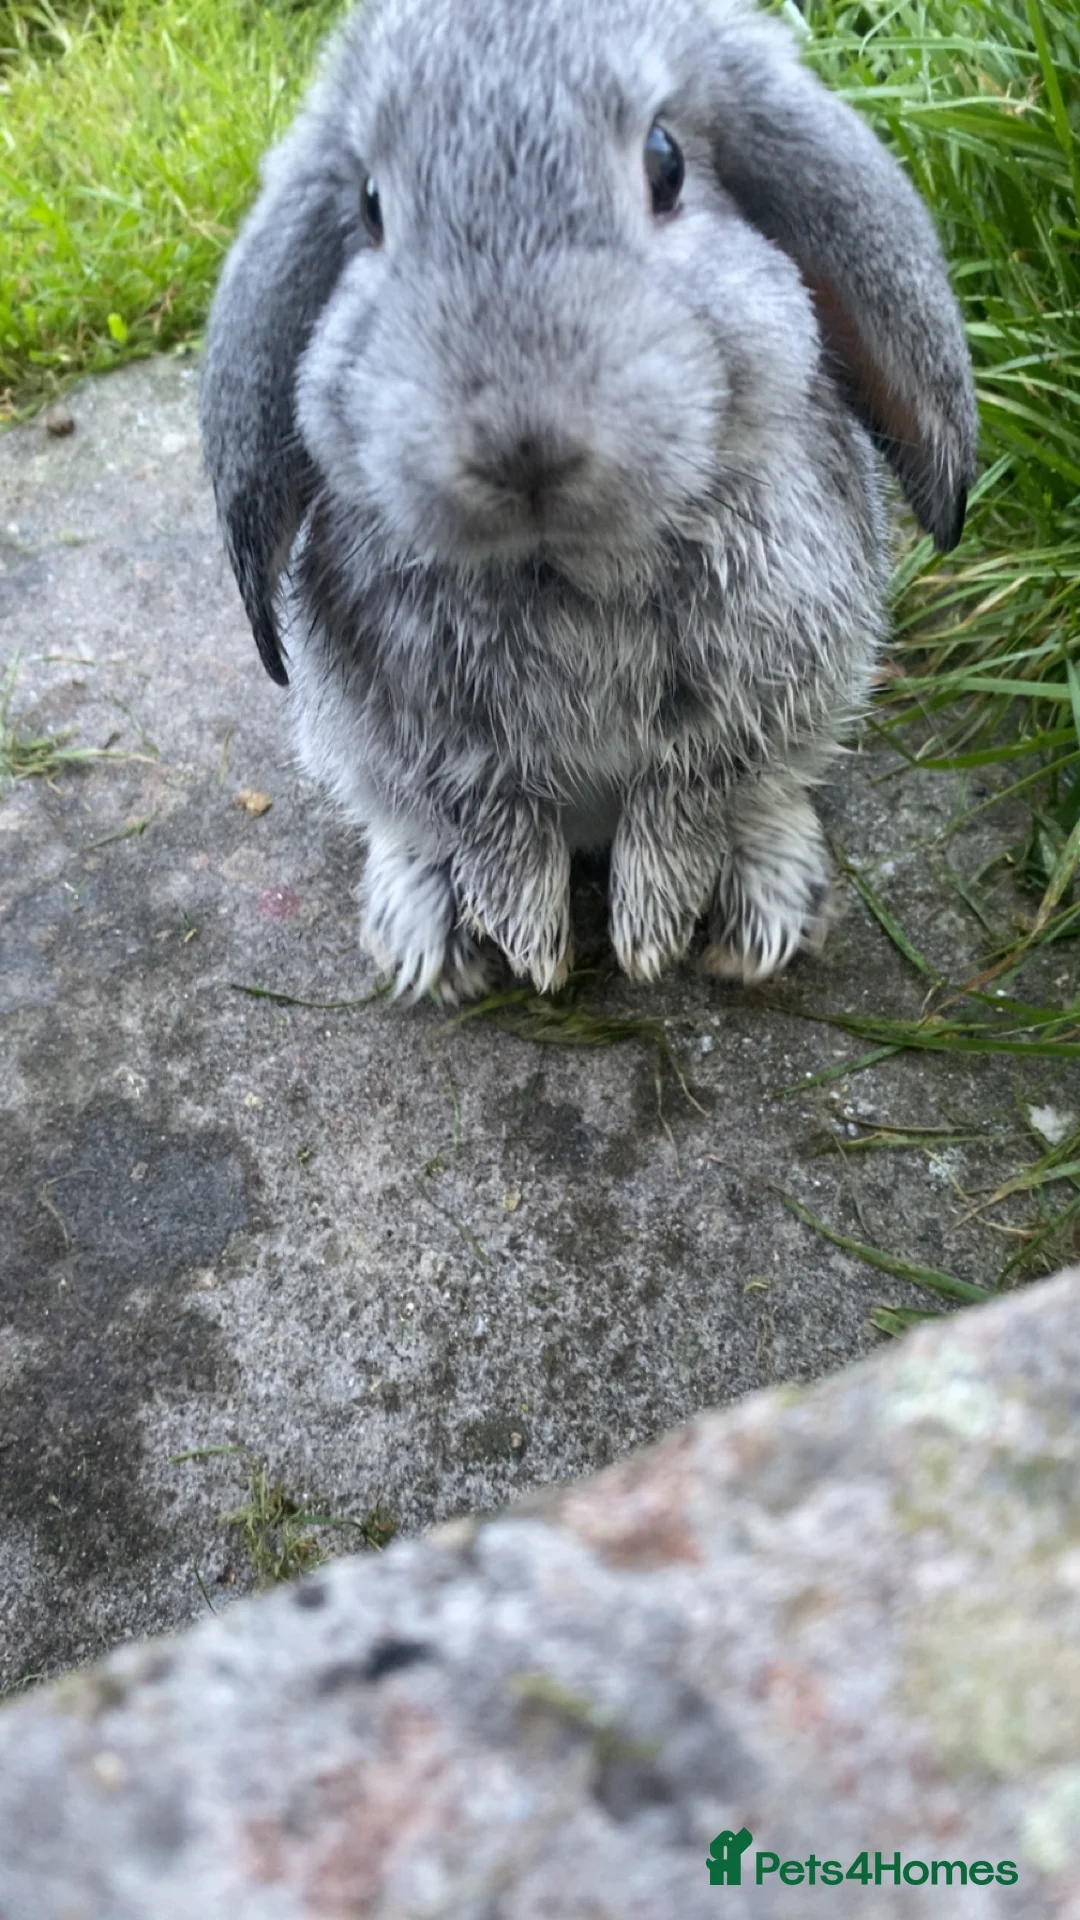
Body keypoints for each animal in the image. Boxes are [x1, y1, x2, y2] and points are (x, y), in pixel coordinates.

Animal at [200, 0, 976, 1004]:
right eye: (370, 207)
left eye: (665, 163)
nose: (520, 446)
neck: (562, 563)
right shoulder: (442, 743)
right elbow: (494, 823)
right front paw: (535, 946)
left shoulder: (746, 705)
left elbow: (684, 802)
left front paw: (649, 935)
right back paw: (432, 937)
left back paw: (759, 918)